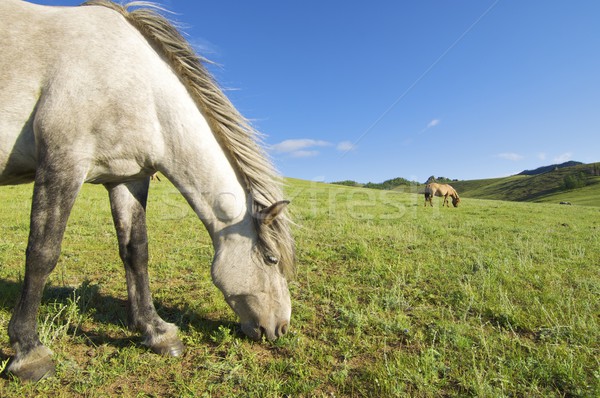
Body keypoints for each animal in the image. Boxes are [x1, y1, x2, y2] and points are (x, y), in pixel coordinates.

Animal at [0, 0, 296, 382]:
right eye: (272, 260)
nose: (281, 328)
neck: (134, 82)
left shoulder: (128, 177)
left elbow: (135, 252)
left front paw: (157, 332)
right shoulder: (63, 162)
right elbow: (42, 254)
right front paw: (29, 351)